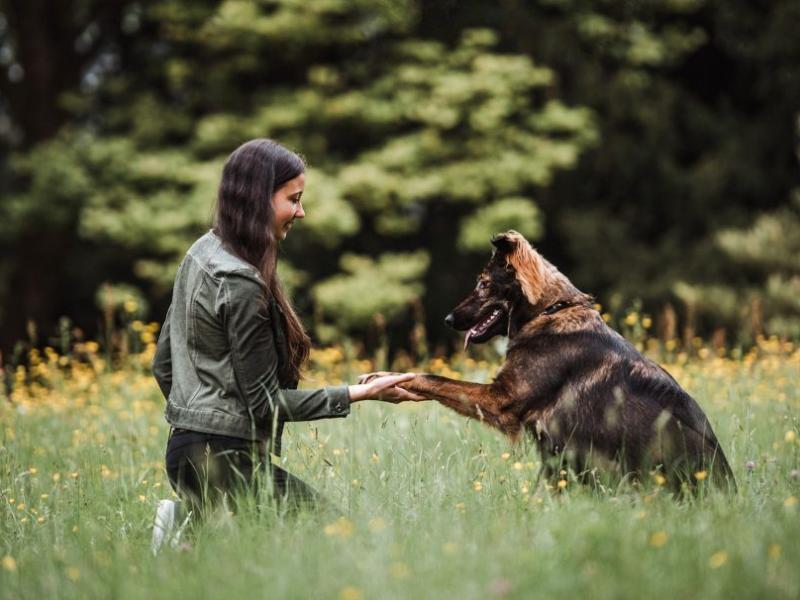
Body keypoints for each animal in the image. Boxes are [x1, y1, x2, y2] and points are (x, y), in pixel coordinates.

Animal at [366, 232, 736, 490]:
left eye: (483, 285)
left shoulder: (502, 401)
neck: (548, 312)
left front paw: (390, 378)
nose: (447, 319)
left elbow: (433, 378)